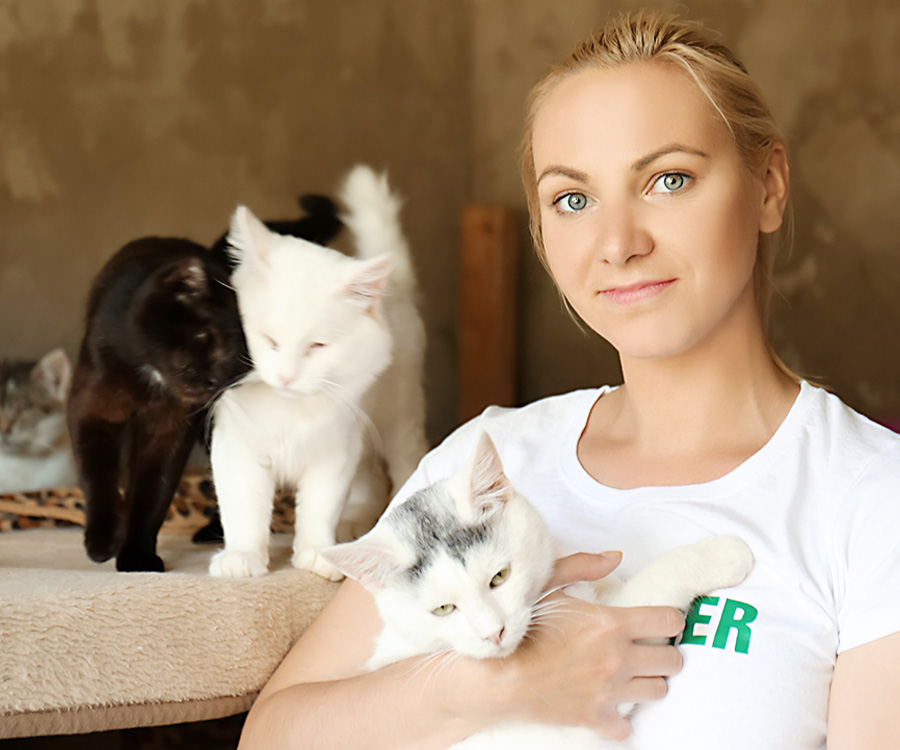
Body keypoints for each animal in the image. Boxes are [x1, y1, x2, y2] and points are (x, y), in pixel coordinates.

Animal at [69, 197, 342, 572]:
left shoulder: (171, 430)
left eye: (245, 357)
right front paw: (102, 541)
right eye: (206, 336)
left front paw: (138, 558)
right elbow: (98, 476)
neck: (153, 380)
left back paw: (213, 533)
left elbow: (152, 495)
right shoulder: (93, 409)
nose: (214, 380)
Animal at [209, 166, 428, 580]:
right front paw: (242, 557)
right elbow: (244, 511)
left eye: (318, 346)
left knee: (405, 467)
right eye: (268, 340)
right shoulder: (238, 449)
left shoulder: (334, 454)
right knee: (372, 480)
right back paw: (356, 525)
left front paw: (316, 554)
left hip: (396, 423)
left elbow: (318, 509)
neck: (288, 411)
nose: (286, 378)